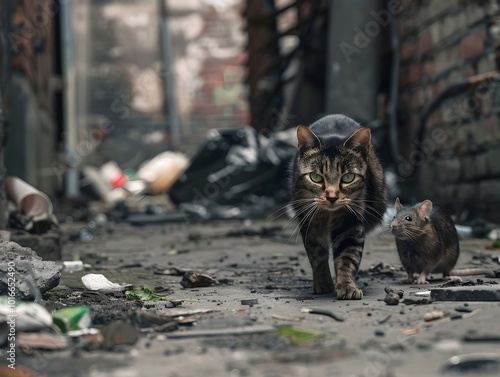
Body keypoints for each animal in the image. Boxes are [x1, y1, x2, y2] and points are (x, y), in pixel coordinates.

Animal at [292, 113, 386, 298]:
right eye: (315, 177)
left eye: (348, 177)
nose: (332, 197)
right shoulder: (309, 221)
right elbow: (316, 254)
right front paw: (323, 284)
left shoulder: (351, 220)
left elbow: (347, 256)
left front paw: (347, 287)